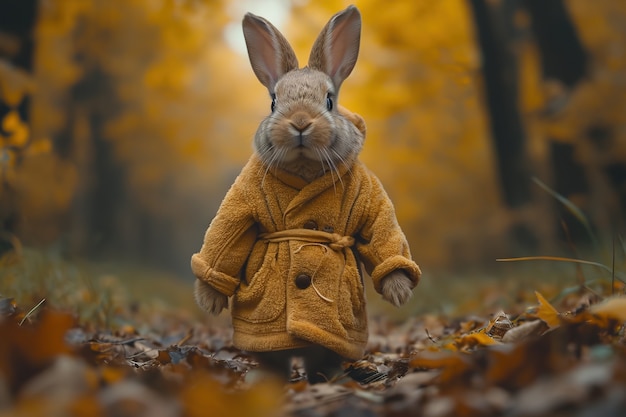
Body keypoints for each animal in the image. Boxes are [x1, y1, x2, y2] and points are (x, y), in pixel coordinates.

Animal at [191, 5, 420, 384]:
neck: (304, 167)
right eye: (273, 102)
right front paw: (209, 301)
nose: (299, 122)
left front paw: (399, 291)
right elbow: (228, 232)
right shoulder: (243, 195)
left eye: (328, 100)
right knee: (273, 357)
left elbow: (381, 231)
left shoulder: (369, 194)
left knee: (321, 356)